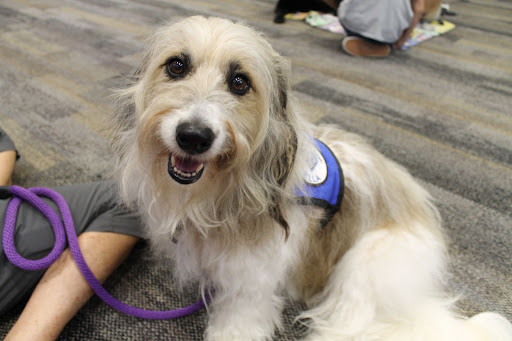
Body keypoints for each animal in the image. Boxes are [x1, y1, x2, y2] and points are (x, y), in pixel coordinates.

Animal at [109, 16, 512, 340]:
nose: (193, 136)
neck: (223, 190)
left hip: (366, 265)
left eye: (239, 82)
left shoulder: (251, 284)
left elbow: (239, 321)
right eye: (177, 66)